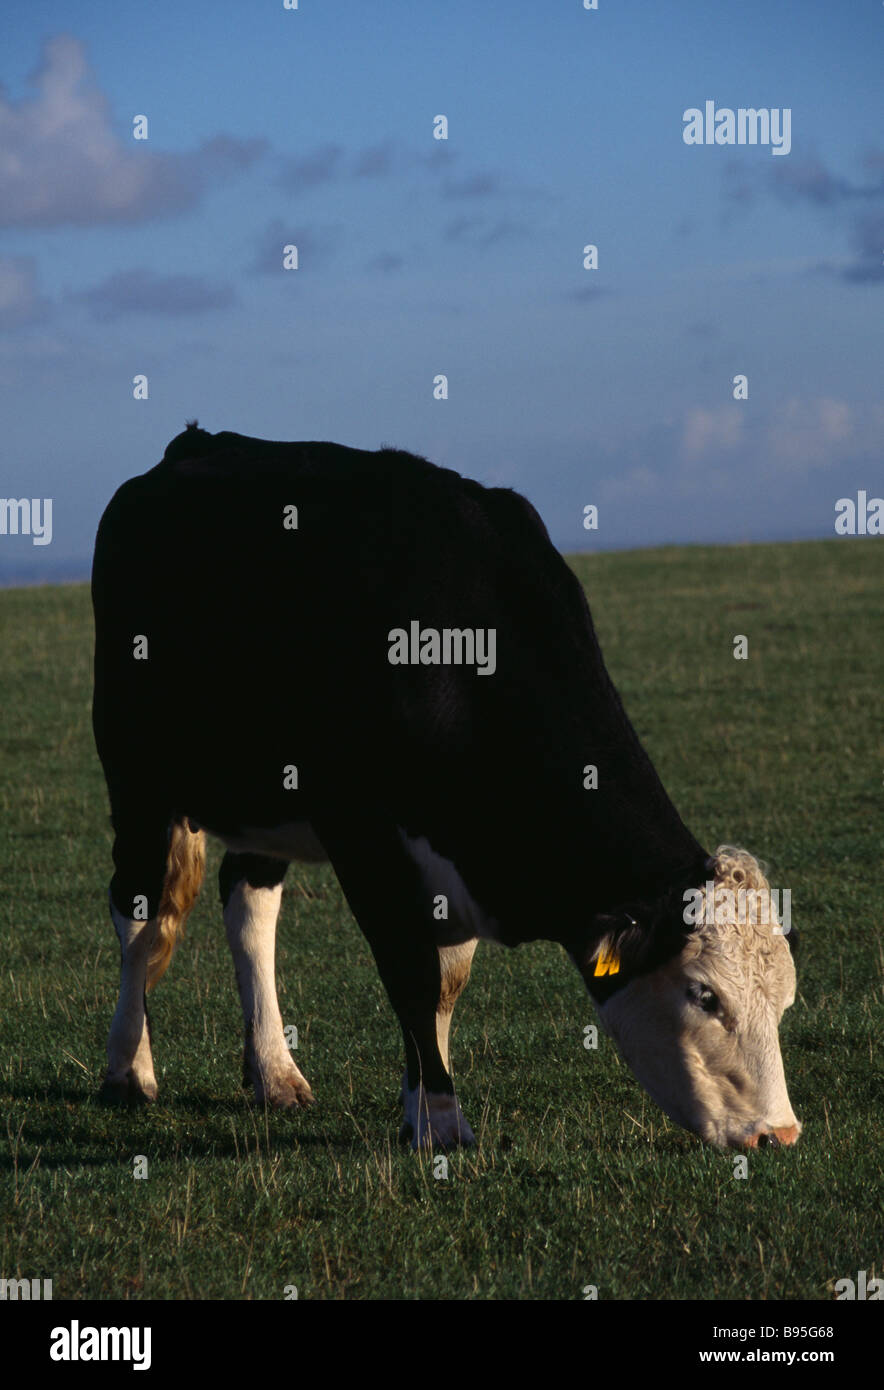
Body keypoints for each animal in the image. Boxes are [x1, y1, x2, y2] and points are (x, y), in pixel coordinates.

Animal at [91, 422, 800, 1151]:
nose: (779, 1132)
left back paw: (274, 1072)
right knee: (137, 909)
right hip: (136, 776)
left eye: (784, 1000)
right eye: (704, 995)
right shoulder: (362, 831)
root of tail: (195, 443)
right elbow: (410, 972)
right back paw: (129, 1069)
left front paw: (418, 1105)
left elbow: (444, 985)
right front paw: (439, 1119)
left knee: (249, 906)